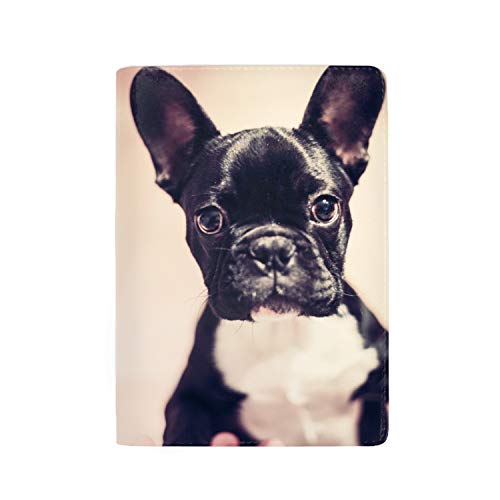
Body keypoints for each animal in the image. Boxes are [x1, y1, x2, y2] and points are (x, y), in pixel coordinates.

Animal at [130, 66, 388, 446]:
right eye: (210, 220)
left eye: (325, 207)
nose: (272, 248)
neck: (284, 334)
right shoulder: (187, 395)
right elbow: (184, 426)